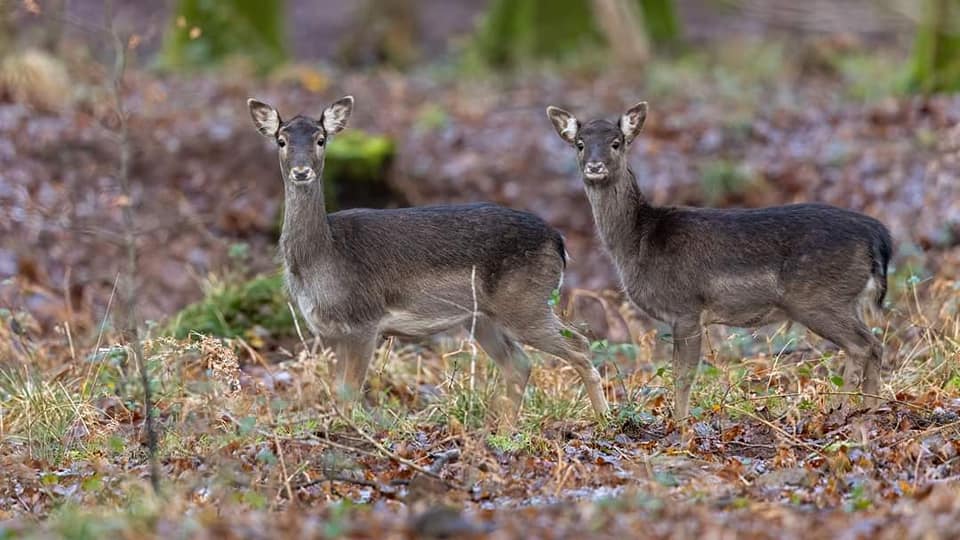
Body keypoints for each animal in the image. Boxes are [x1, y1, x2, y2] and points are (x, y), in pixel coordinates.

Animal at [247, 96, 609, 421]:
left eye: (321, 139)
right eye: (281, 140)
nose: (301, 171)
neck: (323, 259)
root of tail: (559, 242)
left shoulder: (365, 320)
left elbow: (349, 393)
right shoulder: (330, 333)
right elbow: (338, 391)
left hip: (525, 303)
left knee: (579, 344)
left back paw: (604, 420)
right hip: (483, 318)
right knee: (520, 363)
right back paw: (505, 430)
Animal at [546, 101, 892, 420]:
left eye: (616, 142)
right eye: (580, 144)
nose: (594, 166)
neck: (637, 243)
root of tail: (877, 234)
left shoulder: (686, 307)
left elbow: (683, 375)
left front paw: (680, 425)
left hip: (818, 298)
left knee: (861, 345)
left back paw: (846, 408)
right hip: (840, 299)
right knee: (875, 344)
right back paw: (872, 407)